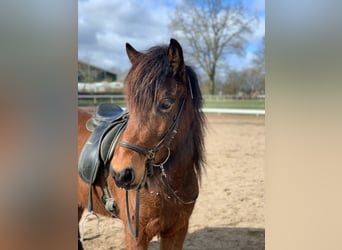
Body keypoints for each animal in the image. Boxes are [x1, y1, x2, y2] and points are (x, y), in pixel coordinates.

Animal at [78, 38, 206, 249]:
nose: (120, 173)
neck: (167, 185)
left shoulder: (177, 231)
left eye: (165, 104)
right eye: (130, 104)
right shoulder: (135, 236)